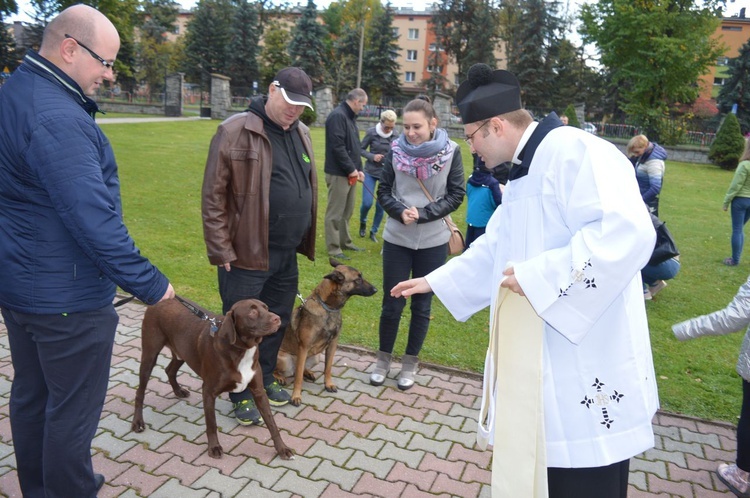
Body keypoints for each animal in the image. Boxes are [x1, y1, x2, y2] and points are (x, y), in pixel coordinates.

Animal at [132, 298, 294, 462]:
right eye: (252, 311)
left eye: (266, 308)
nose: (277, 319)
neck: (240, 350)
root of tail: (160, 301)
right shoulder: (209, 392)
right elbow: (211, 424)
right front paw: (214, 447)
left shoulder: (259, 391)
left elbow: (272, 423)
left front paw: (282, 448)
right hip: (150, 355)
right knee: (140, 392)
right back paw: (137, 422)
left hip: (182, 352)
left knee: (169, 370)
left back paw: (178, 391)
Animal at [274, 258, 378, 406]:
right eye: (357, 280)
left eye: (361, 276)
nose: (376, 289)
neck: (328, 308)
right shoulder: (304, 347)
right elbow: (298, 378)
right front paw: (296, 396)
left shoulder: (333, 345)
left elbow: (328, 368)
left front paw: (328, 384)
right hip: (284, 359)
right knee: (287, 371)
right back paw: (280, 377)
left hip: (315, 357)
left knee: (300, 369)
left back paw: (308, 372)